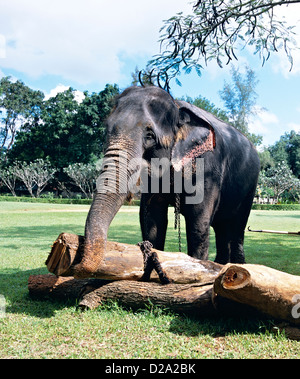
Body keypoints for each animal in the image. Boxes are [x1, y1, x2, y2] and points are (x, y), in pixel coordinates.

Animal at [73, 84, 260, 278]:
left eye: (149, 135)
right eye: (106, 130)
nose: (76, 266)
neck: (176, 106)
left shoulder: (207, 168)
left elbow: (198, 221)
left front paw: (199, 269)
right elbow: (151, 218)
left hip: (250, 186)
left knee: (236, 228)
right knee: (222, 227)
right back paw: (222, 265)